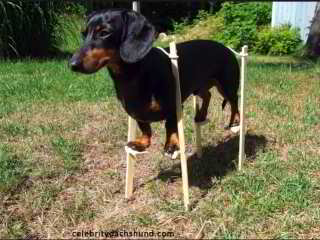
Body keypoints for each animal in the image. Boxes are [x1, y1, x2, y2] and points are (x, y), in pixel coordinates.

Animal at [70, 8, 240, 157]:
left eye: (104, 33)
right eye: (83, 34)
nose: (72, 65)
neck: (132, 77)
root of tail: (226, 48)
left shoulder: (174, 107)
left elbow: (170, 126)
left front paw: (171, 144)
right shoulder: (136, 113)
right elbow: (145, 128)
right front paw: (141, 143)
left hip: (227, 86)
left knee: (234, 103)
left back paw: (235, 121)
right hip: (199, 87)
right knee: (208, 95)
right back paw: (201, 115)